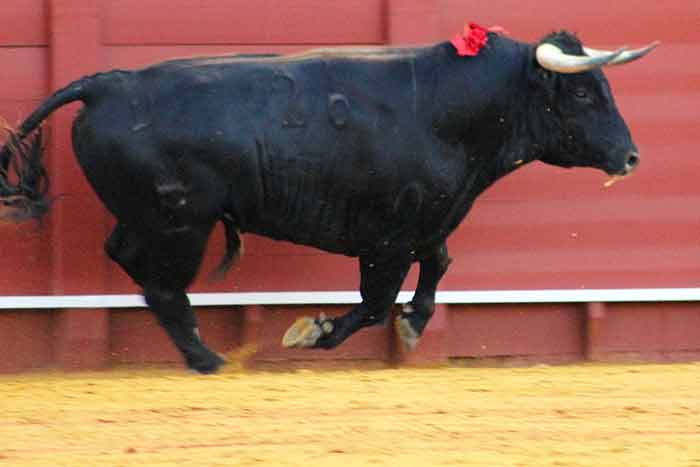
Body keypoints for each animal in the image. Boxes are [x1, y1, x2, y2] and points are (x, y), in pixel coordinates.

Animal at [0, 30, 656, 372]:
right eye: (582, 93)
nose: (630, 158)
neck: (451, 108)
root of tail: (106, 83)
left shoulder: (430, 219)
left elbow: (437, 266)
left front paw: (415, 326)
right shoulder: (387, 237)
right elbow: (374, 301)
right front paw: (311, 332)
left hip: (157, 219)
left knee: (128, 258)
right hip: (180, 223)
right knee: (158, 279)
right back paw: (207, 358)